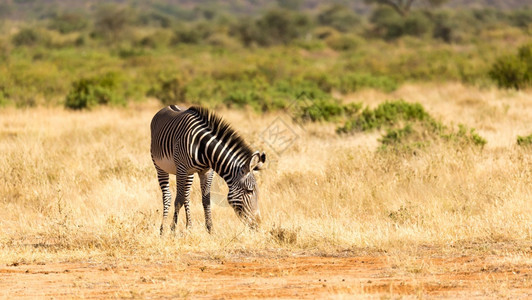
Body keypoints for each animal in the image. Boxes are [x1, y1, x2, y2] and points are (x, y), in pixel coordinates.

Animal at [150, 105, 266, 234]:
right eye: (249, 191)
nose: (258, 225)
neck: (203, 147)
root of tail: (166, 107)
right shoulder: (181, 169)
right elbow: (178, 200)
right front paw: (173, 230)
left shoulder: (207, 171)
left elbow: (206, 200)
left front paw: (210, 229)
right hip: (160, 166)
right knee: (167, 196)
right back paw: (162, 229)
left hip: (190, 174)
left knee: (186, 196)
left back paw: (189, 227)